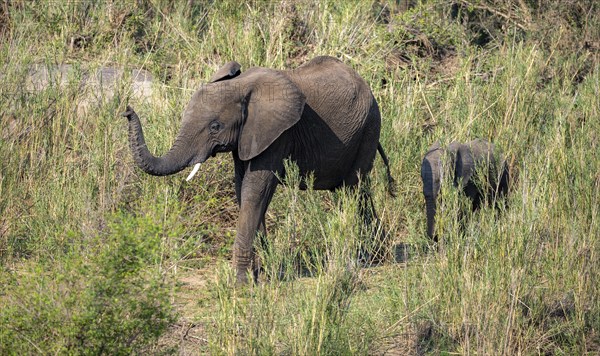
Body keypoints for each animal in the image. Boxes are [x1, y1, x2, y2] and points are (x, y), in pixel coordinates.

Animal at [120, 55, 396, 284]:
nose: (127, 110)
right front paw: (261, 274)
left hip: (369, 126)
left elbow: (256, 188)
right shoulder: (246, 137)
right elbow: (243, 189)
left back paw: (364, 258)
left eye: (215, 127)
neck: (242, 87)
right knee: (350, 192)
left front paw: (241, 283)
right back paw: (377, 254)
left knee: (354, 189)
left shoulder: (278, 133)